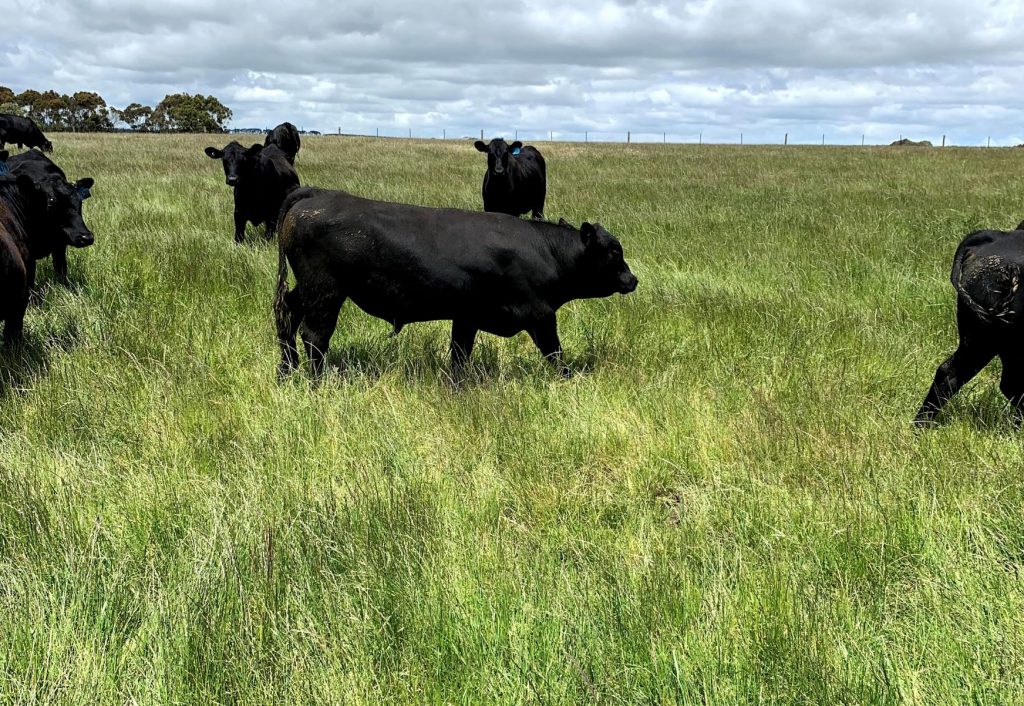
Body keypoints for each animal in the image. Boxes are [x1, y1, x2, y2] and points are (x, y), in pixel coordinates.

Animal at [276, 184, 634, 377]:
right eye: (615, 252)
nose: (633, 279)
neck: (544, 250)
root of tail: (318, 194)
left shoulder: (467, 316)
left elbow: (460, 356)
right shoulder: (540, 314)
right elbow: (555, 353)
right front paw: (570, 379)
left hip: (306, 290)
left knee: (286, 317)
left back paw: (286, 372)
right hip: (325, 291)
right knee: (314, 336)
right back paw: (316, 383)